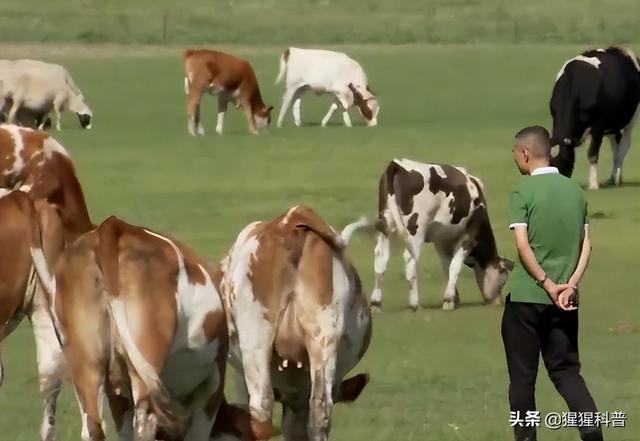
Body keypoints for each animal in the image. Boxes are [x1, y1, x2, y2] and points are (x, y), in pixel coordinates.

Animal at [37, 217, 278, 440]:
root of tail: (113, 226)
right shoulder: (212, 388)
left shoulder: (118, 396)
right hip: (147, 359)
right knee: (146, 423)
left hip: (86, 362)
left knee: (93, 426)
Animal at [342, 158, 512, 310]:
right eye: (503, 277)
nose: (498, 301)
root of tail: (396, 165)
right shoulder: (469, 236)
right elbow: (454, 266)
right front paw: (449, 299)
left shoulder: (441, 240)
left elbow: (446, 265)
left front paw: (454, 297)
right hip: (415, 230)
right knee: (409, 259)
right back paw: (415, 304)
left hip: (387, 226)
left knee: (380, 259)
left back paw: (376, 302)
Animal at [552, 45, 640, 188]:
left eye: (563, 166)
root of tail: (620, 49)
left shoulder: (599, 124)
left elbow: (592, 154)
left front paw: (593, 184)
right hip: (612, 124)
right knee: (616, 145)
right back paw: (612, 178)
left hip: (631, 119)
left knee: (624, 146)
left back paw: (617, 178)